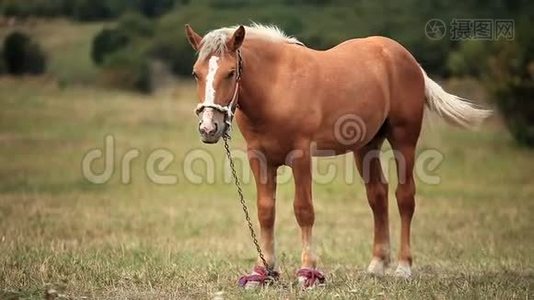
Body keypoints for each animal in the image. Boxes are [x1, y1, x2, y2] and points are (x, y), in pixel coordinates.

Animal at [185, 24, 494, 288]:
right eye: (196, 73)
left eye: (230, 72)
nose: (209, 128)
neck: (277, 86)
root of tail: (407, 58)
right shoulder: (259, 158)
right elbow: (265, 211)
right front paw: (264, 272)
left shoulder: (301, 156)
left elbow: (304, 210)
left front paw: (307, 272)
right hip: (366, 146)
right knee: (378, 195)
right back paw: (377, 265)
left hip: (404, 139)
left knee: (405, 197)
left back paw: (403, 267)